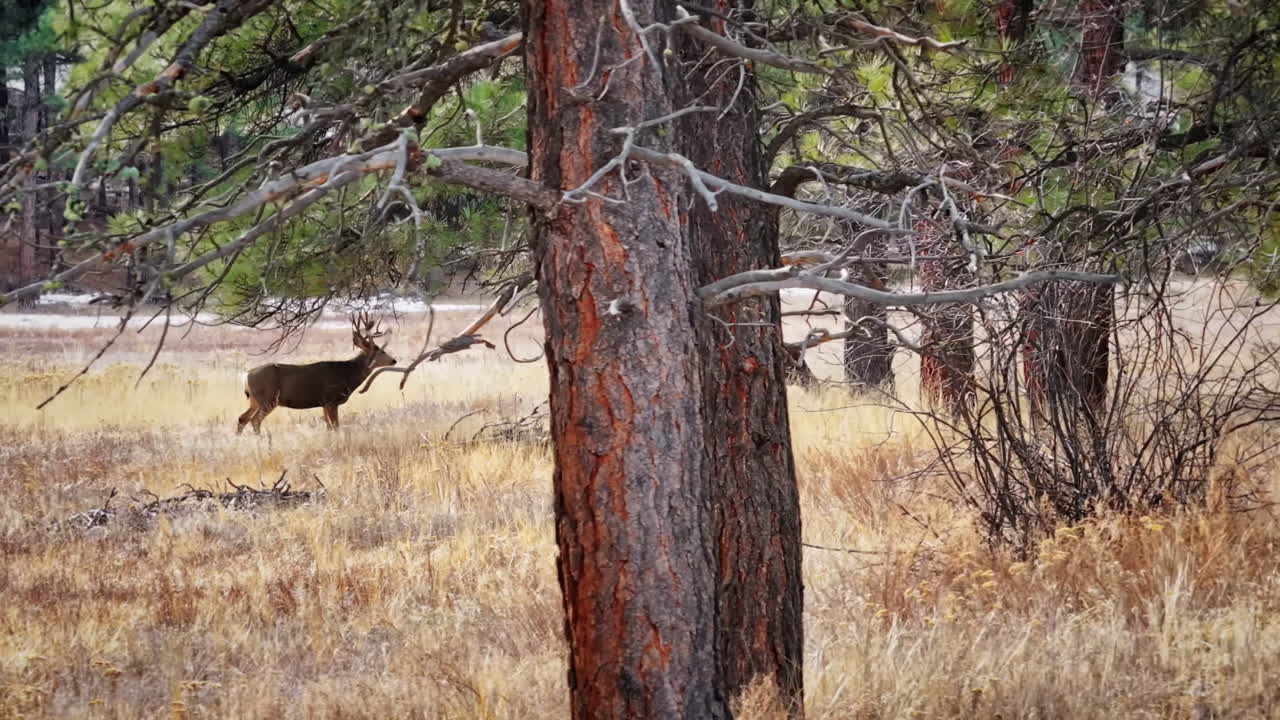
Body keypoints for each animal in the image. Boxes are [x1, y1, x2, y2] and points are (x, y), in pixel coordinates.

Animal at [236, 312, 397, 434]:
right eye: (380, 350)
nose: (394, 360)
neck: (347, 375)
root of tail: (246, 375)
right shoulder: (331, 400)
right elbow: (335, 427)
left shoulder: (323, 403)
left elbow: (329, 427)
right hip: (268, 399)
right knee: (255, 420)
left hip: (255, 400)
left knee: (242, 418)